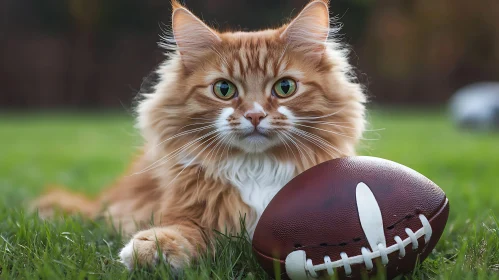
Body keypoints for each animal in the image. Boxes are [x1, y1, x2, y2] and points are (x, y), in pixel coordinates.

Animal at [31, 0, 368, 272]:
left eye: (285, 87)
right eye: (224, 89)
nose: (255, 115)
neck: (257, 168)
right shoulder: (190, 215)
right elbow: (181, 231)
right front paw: (152, 251)